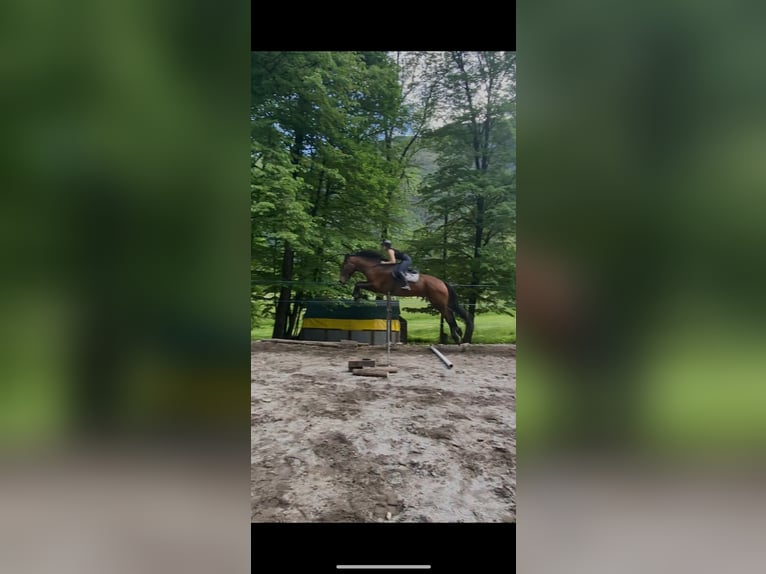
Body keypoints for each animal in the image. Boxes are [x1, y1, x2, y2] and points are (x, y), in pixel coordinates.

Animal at [339, 250, 474, 344]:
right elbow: (359, 283)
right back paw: (458, 333)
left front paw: (356, 295)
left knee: (449, 315)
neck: (374, 267)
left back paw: (456, 337)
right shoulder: (375, 287)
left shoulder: (376, 287)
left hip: (438, 302)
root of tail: (442, 282)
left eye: (344, 265)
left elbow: (358, 284)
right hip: (439, 302)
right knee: (450, 314)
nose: (341, 281)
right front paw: (357, 296)